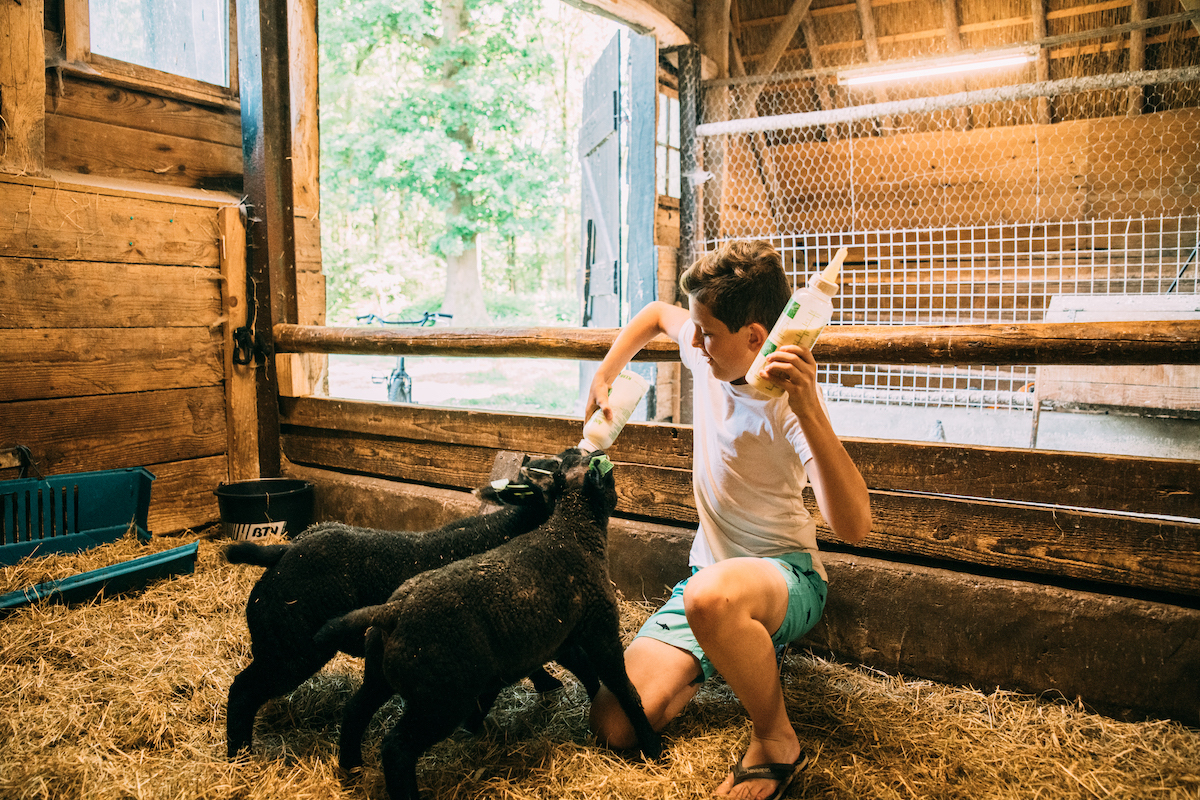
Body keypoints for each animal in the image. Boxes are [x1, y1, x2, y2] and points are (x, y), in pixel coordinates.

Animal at [225, 450, 585, 758]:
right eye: (556, 476)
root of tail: (282, 552)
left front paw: (548, 686)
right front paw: (548, 686)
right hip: (291, 649)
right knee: (242, 691)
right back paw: (240, 756)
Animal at [314, 448, 662, 800]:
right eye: (608, 471)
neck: (574, 530)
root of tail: (394, 611)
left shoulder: (561, 638)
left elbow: (586, 671)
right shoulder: (601, 629)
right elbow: (624, 688)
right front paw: (652, 747)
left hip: (382, 677)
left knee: (355, 710)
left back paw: (350, 768)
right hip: (441, 698)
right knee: (396, 748)